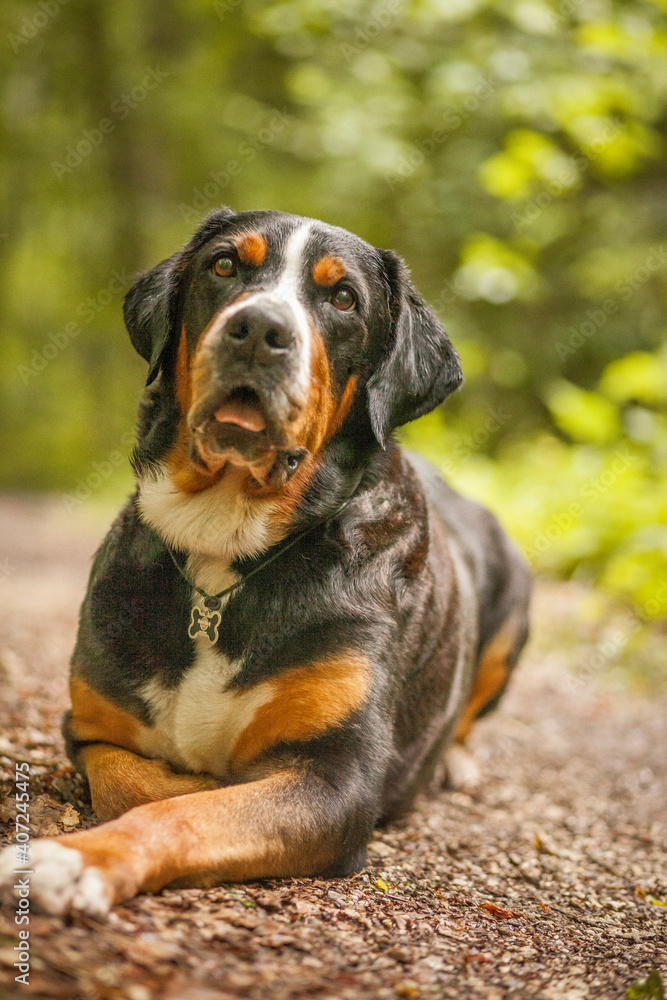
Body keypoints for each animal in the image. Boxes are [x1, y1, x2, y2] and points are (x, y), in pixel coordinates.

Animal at [1, 209, 532, 916]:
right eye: (225, 265)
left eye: (344, 299)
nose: (258, 330)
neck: (224, 555)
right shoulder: (94, 726)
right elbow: (139, 785)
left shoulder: (334, 777)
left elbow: (186, 809)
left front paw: (73, 859)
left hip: (513, 610)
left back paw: (455, 760)